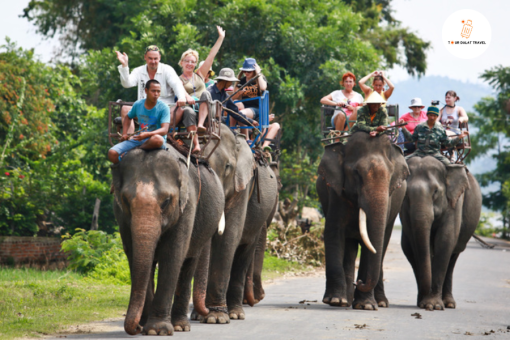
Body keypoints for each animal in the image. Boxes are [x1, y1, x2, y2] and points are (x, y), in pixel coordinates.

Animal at [110, 145, 224, 334]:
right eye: (125, 200)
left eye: (166, 201)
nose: (136, 328)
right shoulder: (120, 214)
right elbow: (133, 254)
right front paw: (145, 326)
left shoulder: (187, 206)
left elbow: (172, 256)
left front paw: (156, 330)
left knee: (188, 264)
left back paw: (180, 325)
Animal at [316, 132, 408, 310]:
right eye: (356, 173)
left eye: (390, 176)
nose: (358, 282)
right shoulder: (336, 192)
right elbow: (333, 232)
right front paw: (335, 301)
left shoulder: (389, 199)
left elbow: (372, 244)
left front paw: (365, 305)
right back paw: (346, 301)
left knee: (382, 245)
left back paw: (380, 302)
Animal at [400, 157, 480, 310]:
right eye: (406, 194)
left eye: (436, 191)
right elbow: (414, 242)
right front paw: (425, 303)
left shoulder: (454, 201)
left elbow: (445, 240)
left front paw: (433, 305)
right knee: (410, 249)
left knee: (453, 255)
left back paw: (448, 303)